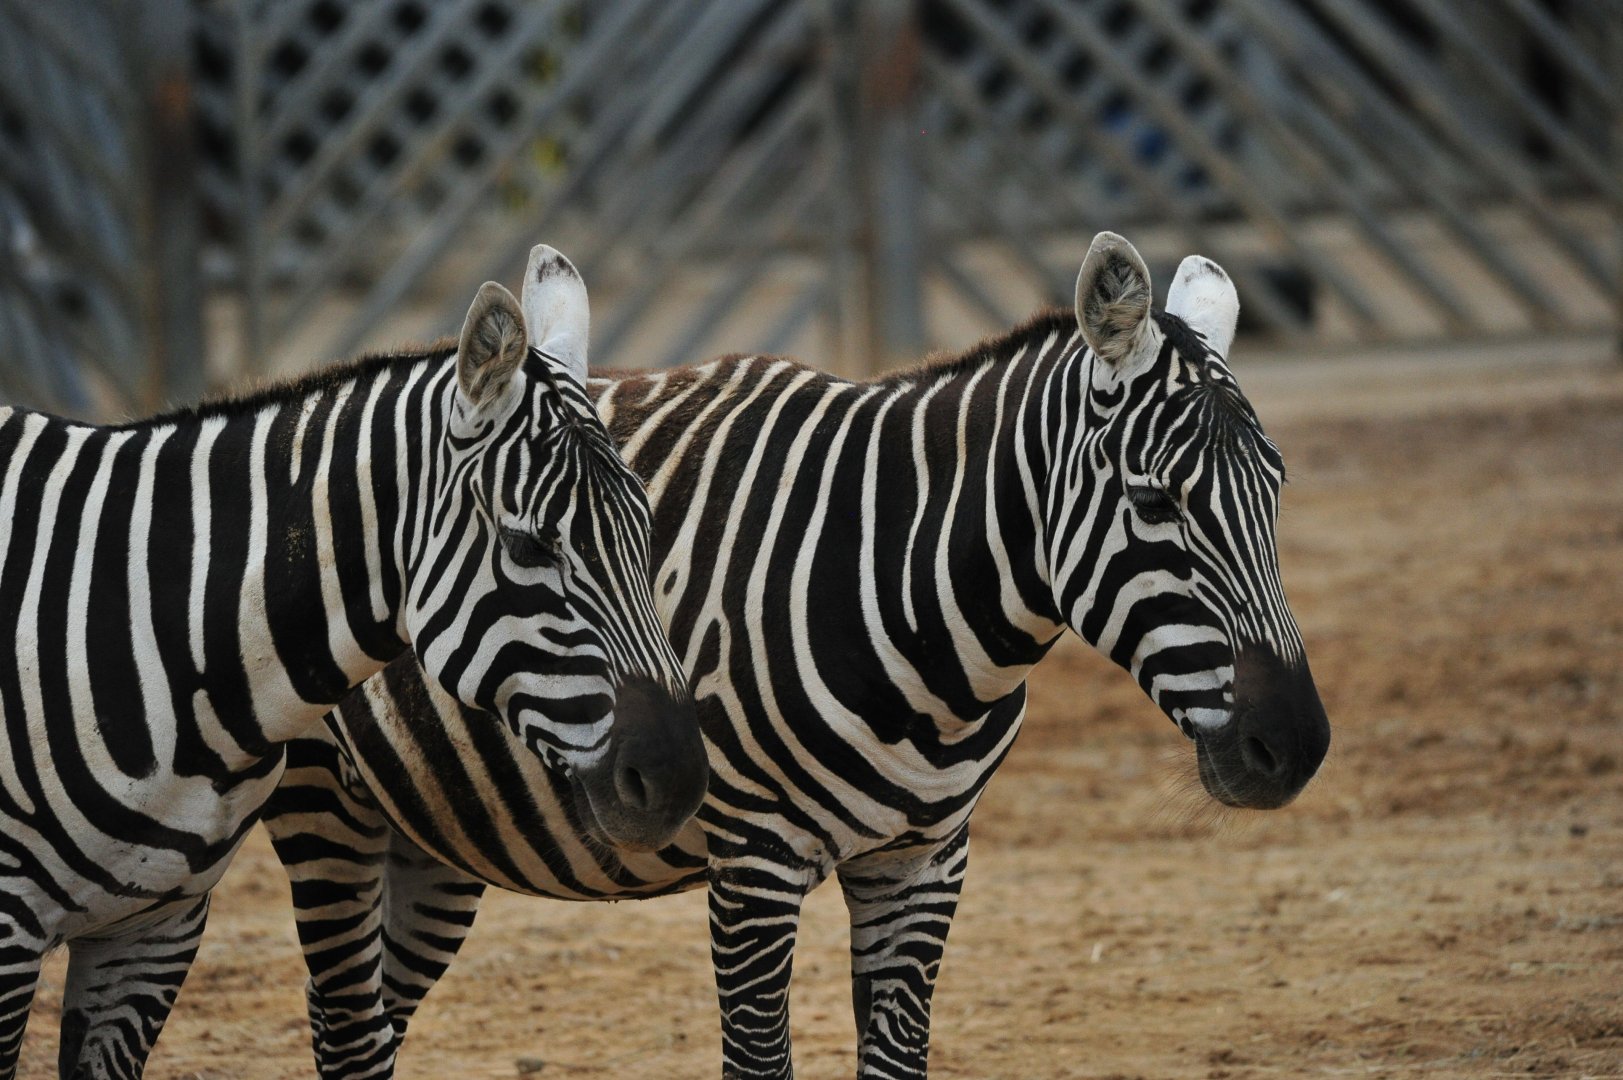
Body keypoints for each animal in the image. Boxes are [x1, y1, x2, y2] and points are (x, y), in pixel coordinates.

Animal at [265, 232, 1331, 1078]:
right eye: (1154, 501)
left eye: (1276, 490)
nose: (1295, 747)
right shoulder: (754, 864)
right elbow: (758, 1060)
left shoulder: (925, 860)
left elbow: (896, 1062)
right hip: (323, 804)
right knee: (345, 1024)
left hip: (427, 837)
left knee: (367, 1018)